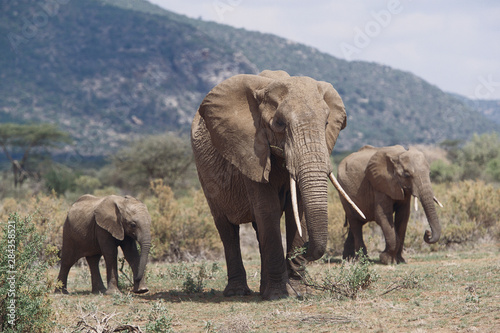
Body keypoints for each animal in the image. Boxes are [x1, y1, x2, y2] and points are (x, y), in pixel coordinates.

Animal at [191, 69, 364, 298]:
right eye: (280, 124)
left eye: (326, 124)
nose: (306, 249)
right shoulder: (251, 152)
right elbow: (268, 210)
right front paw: (277, 294)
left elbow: (296, 211)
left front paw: (298, 292)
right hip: (205, 175)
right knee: (226, 228)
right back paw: (238, 292)